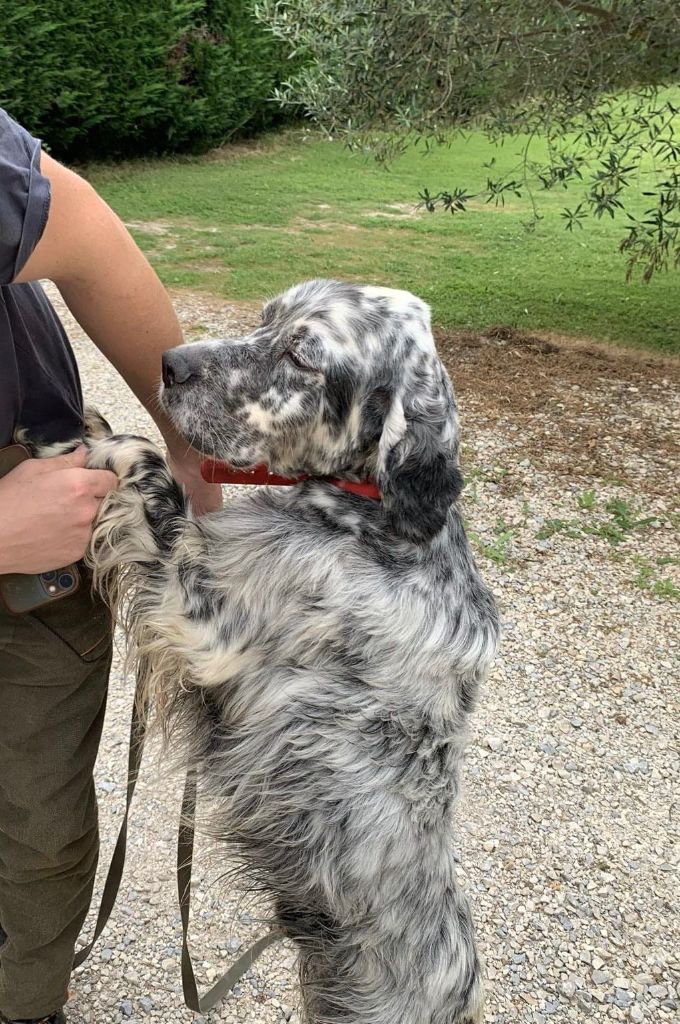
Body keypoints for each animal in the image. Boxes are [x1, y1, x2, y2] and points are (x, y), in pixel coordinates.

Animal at [31, 280, 499, 1024]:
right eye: (264, 319)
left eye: (301, 356)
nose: (170, 363)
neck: (371, 519)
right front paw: (96, 425)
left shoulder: (200, 615)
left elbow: (152, 473)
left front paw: (99, 447)